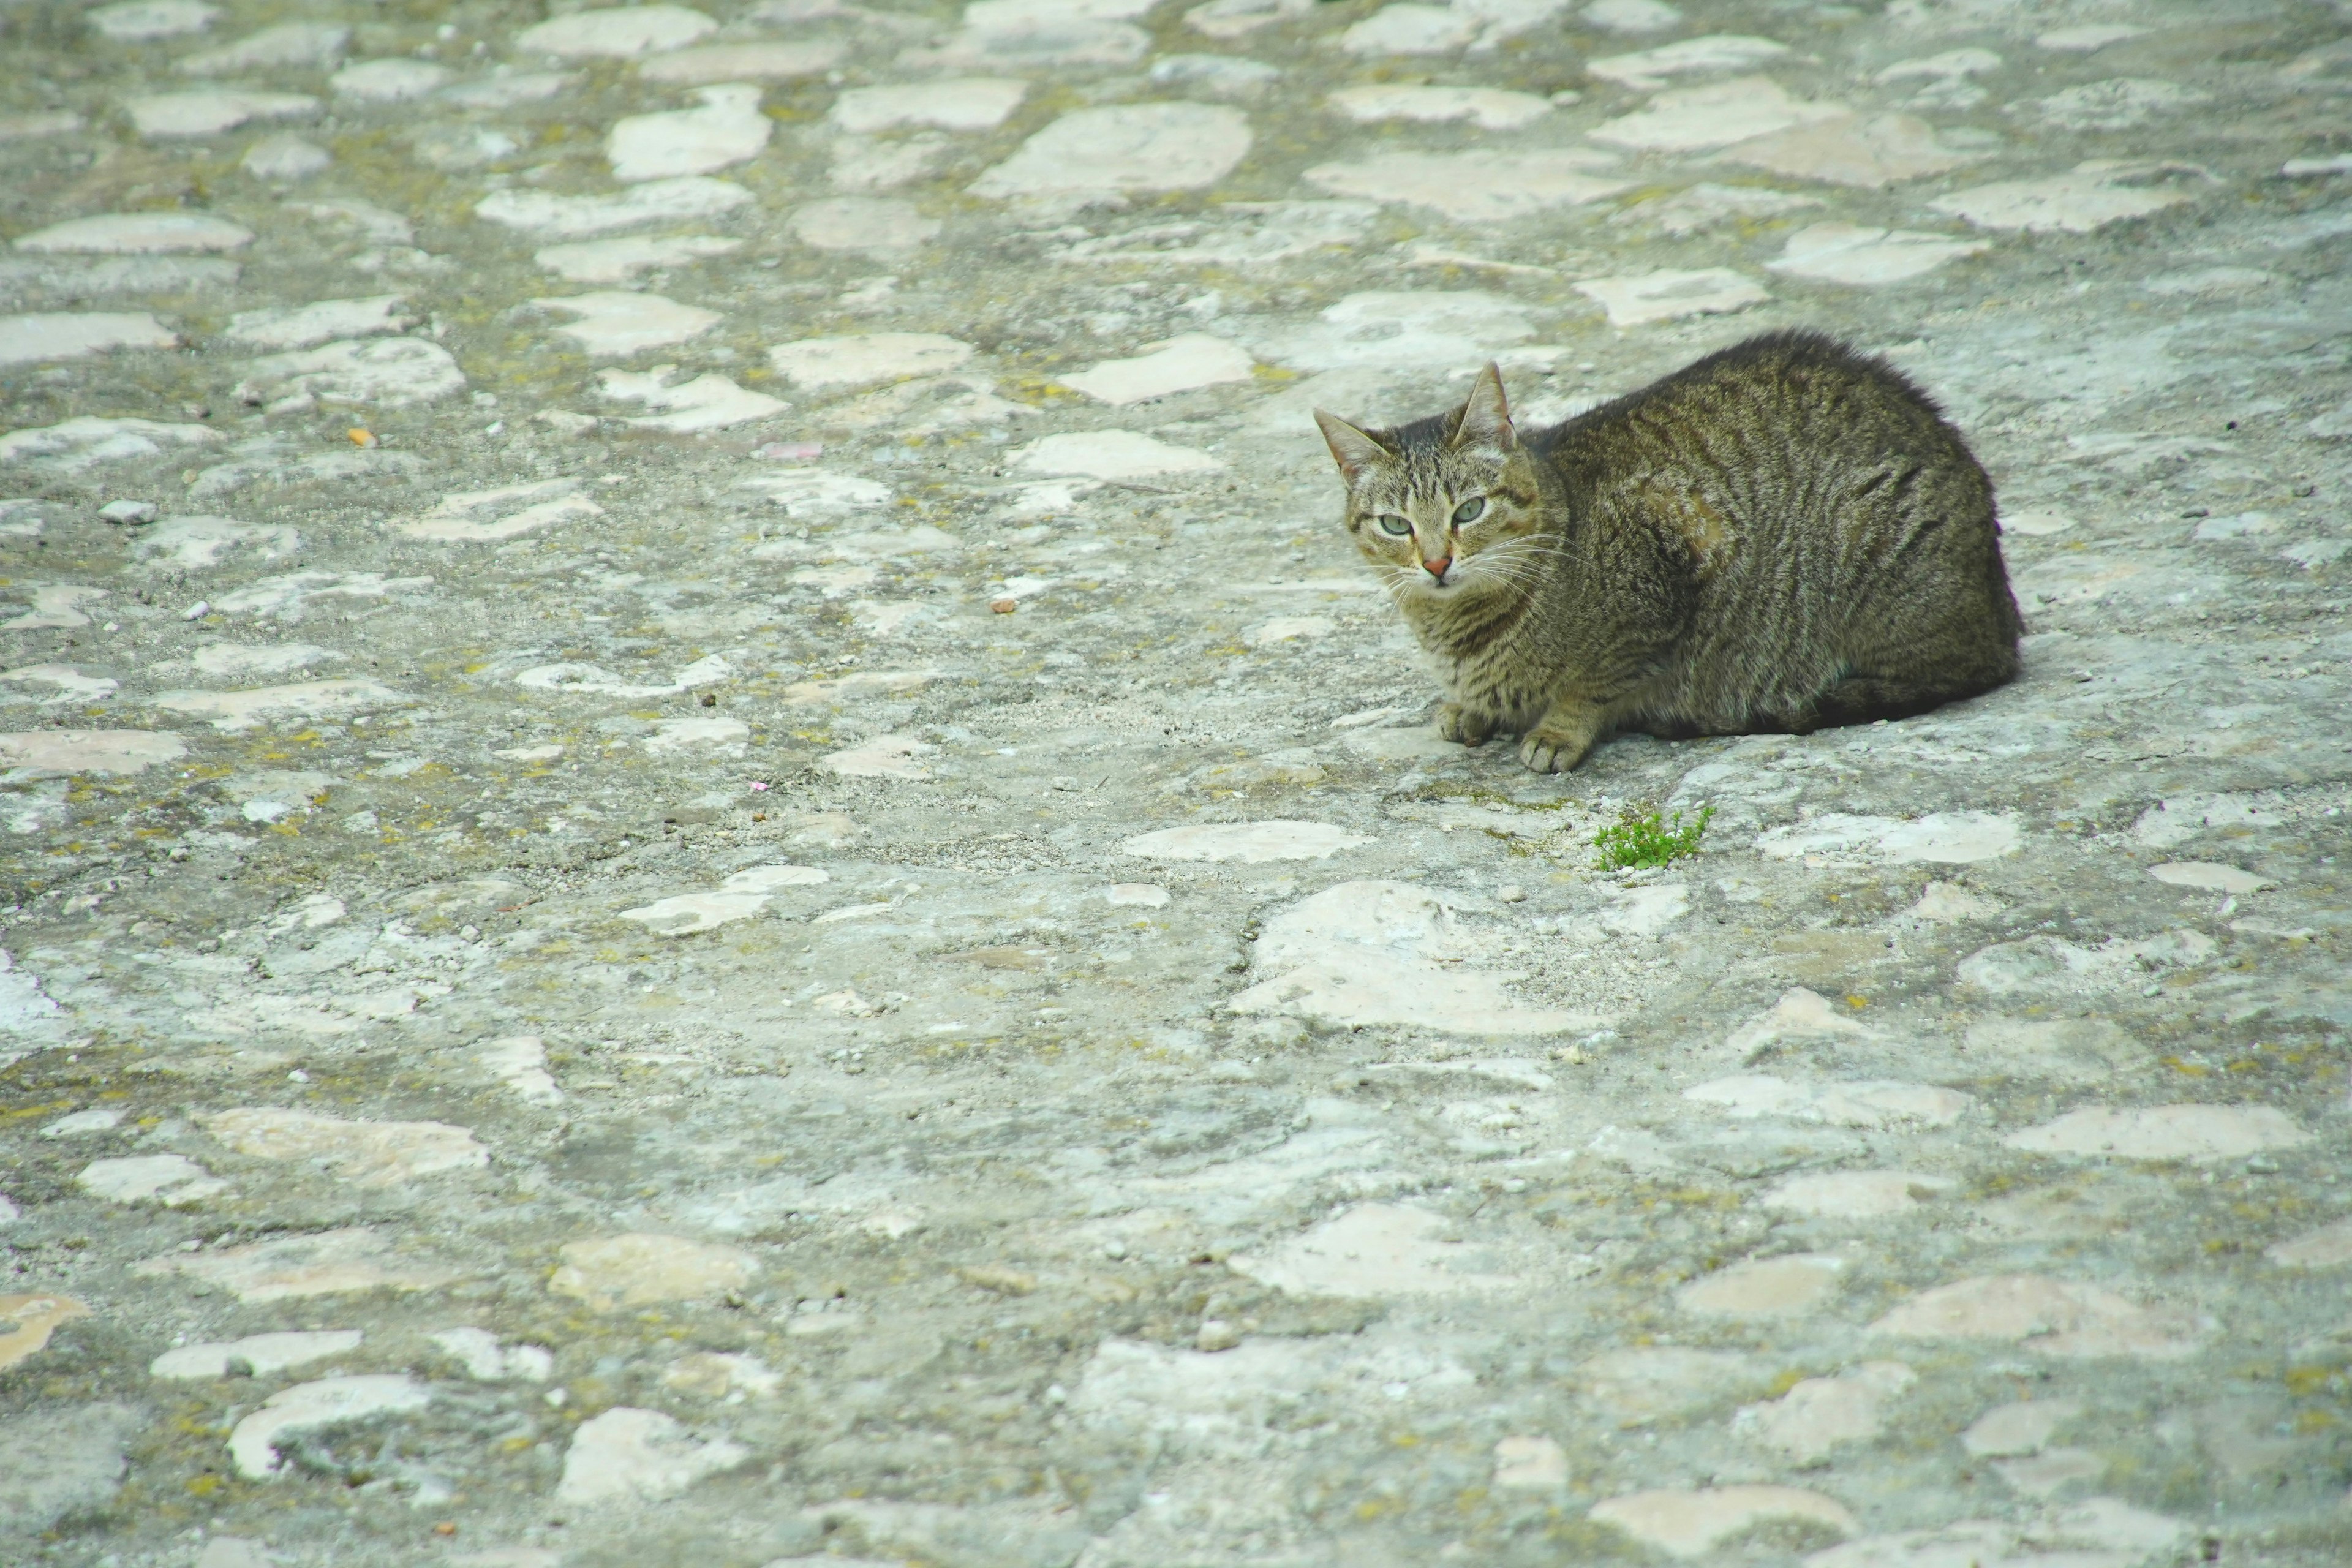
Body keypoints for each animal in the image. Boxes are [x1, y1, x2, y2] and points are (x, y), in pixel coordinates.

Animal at [1326, 331, 2022, 771]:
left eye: (1469, 511)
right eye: (1395, 525)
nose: (1436, 563)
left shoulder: (1670, 564)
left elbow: (1595, 681)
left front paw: (1557, 729)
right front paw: (1472, 708)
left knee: (1957, 671)